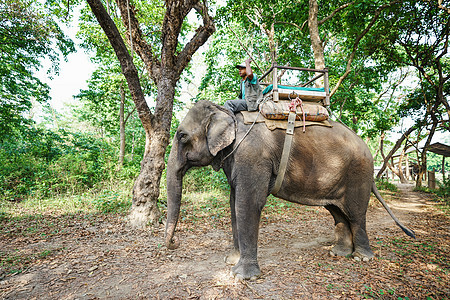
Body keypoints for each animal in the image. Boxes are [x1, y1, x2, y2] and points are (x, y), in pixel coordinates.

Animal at [165, 99, 414, 280]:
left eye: (182, 136)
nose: (174, 243)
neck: (227, 114)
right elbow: (234, 202)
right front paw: (231, 262)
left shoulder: (253, 156)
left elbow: (248, 203)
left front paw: (242, 277)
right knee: (337, 211)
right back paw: (338, 253)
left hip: (358, 173)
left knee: (355, 214)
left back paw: (362, 258)